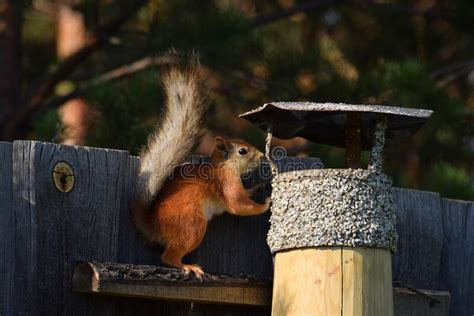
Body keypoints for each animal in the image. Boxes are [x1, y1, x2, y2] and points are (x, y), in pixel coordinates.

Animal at [131, 56, 270, 276]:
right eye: (242, 151)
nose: (262, 156)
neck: (222, 166)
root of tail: (153, 226)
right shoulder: (227, 182)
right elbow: (239, 204)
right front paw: (265, 204)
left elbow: (245, 194)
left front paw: (258, 188)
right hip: (192, 225)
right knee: (169, 256)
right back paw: (187, 266)